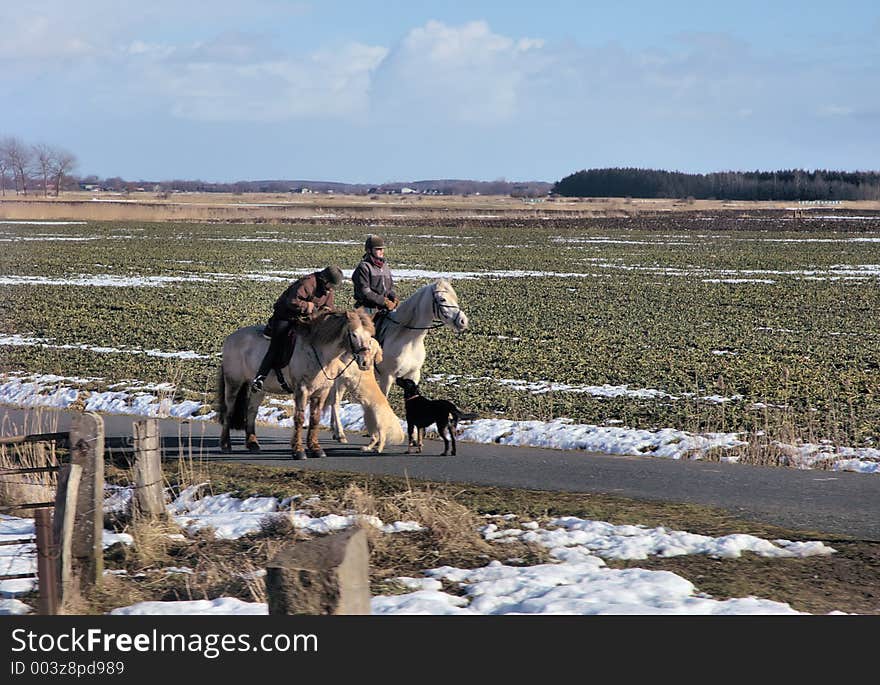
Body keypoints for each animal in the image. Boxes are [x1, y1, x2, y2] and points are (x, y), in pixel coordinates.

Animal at [219, 310, 374, 460]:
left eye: (370, 336)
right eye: (354, 334)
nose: (365, 362)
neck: (320, 352)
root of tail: (230, 337)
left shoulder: (321, 392)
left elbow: (315, 418)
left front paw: (315, 448)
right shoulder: (302, 390)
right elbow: (299, 419)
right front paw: (298, 451)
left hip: (258, 389)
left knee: (251, 411)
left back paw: (253, 444)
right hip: (233, 383)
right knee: (228, 411)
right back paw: (226, 445)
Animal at [328, 278, 468, 444]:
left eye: (455, 297)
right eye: (442, 299)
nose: (463, 321)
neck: (407, 339)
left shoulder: (413, 375)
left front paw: (415, 438)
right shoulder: (387, 377)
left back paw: (334, 431)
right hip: (342, 377)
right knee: (336, 401)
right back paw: (340, 434)